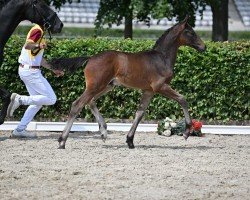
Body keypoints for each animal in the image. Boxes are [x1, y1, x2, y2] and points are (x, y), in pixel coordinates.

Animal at [54, 16, 205, 148]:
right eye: (191, 32)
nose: (204, 47)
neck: (161, 58)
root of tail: (90, 58)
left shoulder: (149, 91)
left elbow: (139, 113)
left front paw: (130, 141)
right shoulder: (160, 87)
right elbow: (182, 99)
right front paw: (186, 132)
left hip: (106, 86)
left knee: (90, 102)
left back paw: (103, 132)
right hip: (96, 86)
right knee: (77, 104)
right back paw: (62, 141)